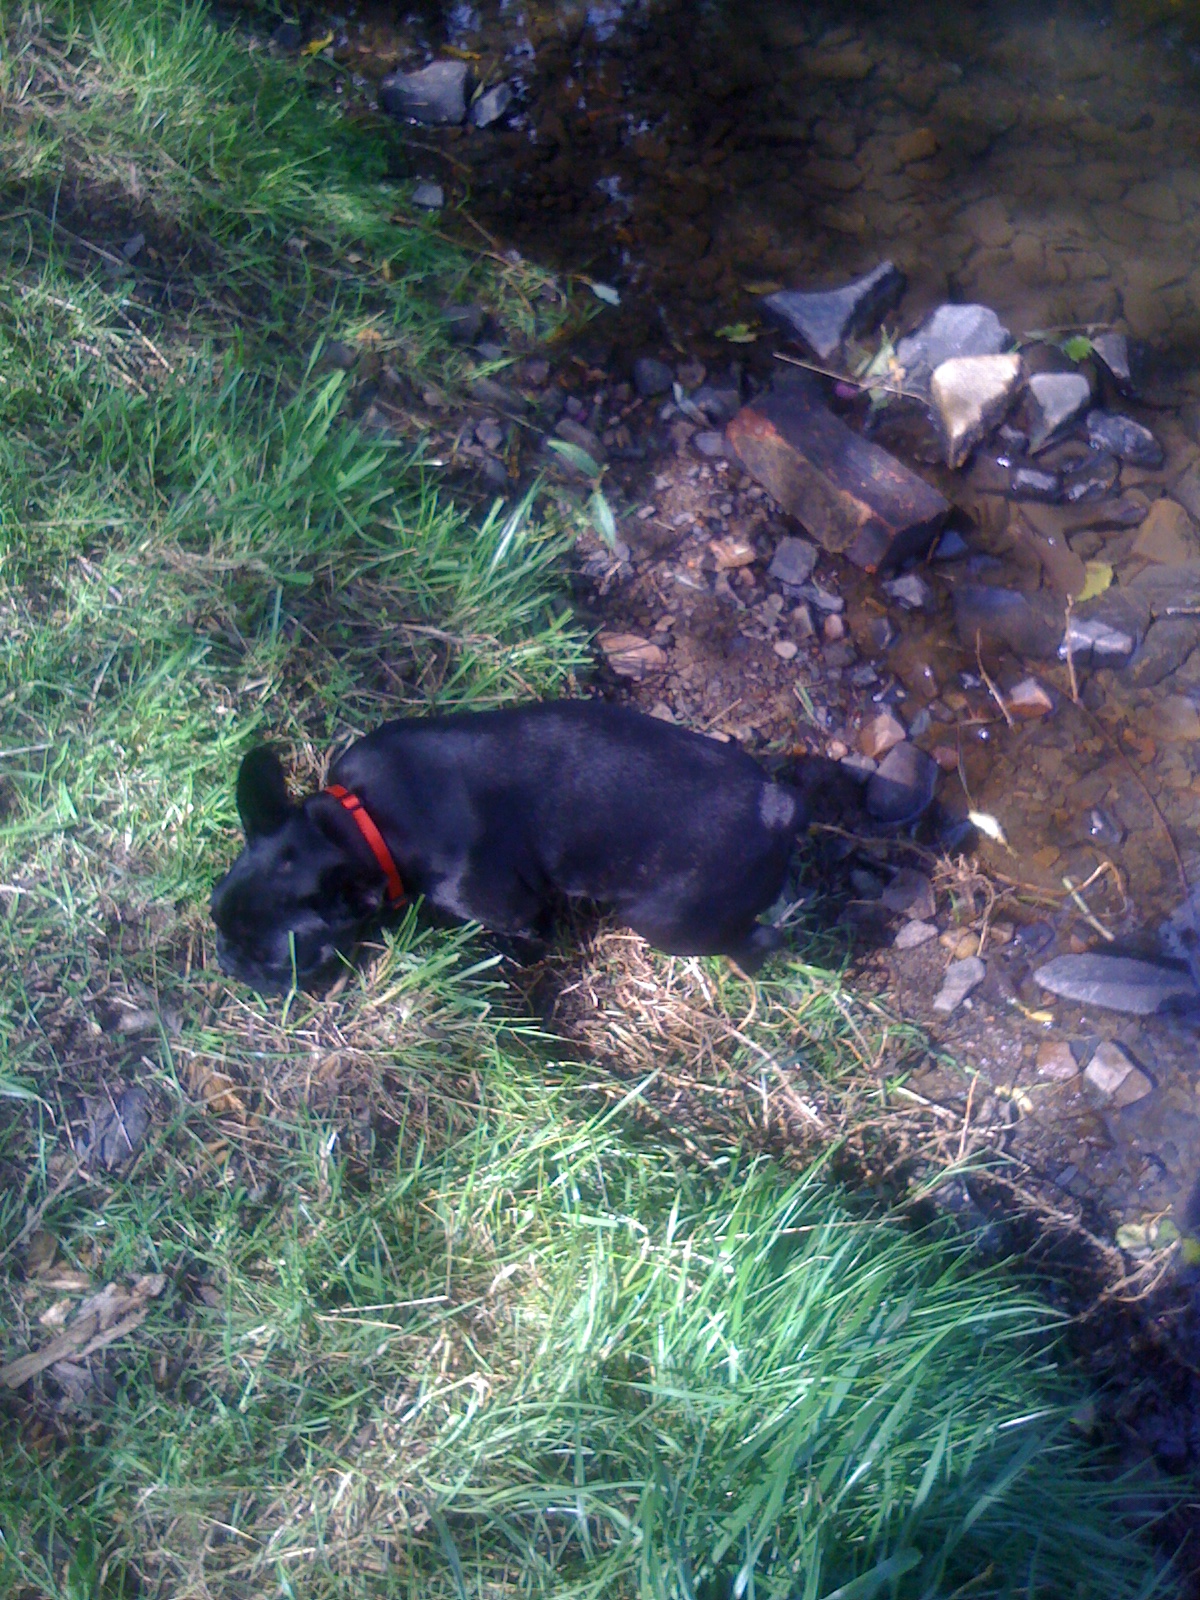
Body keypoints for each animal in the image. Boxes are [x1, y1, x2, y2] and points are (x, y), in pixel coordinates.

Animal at [211, 699, 806, 991]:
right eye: (214, 914)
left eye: (279, 961)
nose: (227, 962)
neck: (358, 822)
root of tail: (776, 807)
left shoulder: (507, 907)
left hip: (672, 923)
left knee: (758, 937)